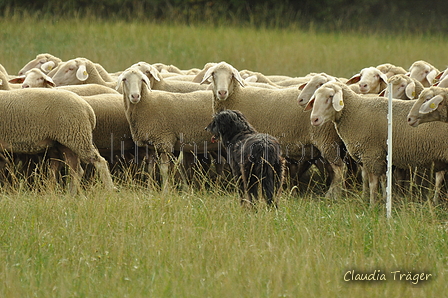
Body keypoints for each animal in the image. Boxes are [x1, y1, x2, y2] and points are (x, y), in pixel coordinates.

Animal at [306, 81, 448, 205]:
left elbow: (373, 182)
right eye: (315, 97)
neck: (355, 112)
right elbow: (376, 179)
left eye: (330, 96)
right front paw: (377, 198)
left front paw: (372, 205)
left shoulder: (371, 154)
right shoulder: (372, 155)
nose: (314, 119)